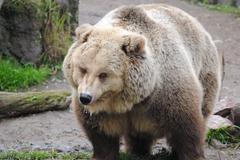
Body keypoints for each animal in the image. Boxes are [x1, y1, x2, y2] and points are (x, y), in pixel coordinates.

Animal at [62, 3, 223, 160]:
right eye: (83, 69)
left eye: (103, 74)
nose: (85, 97)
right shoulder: (101, 110)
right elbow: (100, 133)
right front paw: (102, 154)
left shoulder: (166, 91)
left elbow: (186, 126)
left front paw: (191, 154)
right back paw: (137, 151)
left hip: (205, 70)